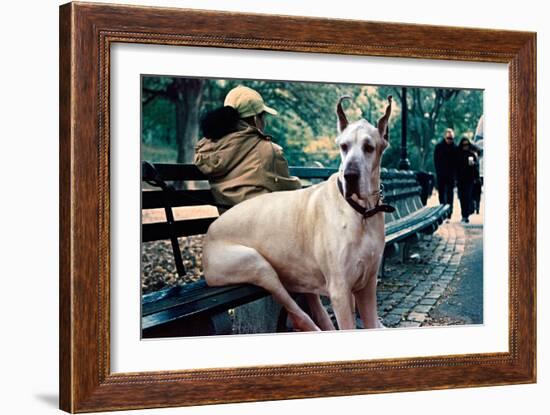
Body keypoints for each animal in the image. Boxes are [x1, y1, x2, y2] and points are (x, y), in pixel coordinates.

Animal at [205, 96, 394, 334]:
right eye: (344, 147)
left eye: (369, 147)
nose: (350, 175)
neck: (361, 213)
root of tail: (209, 233)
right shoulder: (341, 290)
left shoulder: (367, 285)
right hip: (256, 264)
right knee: (298, 313)